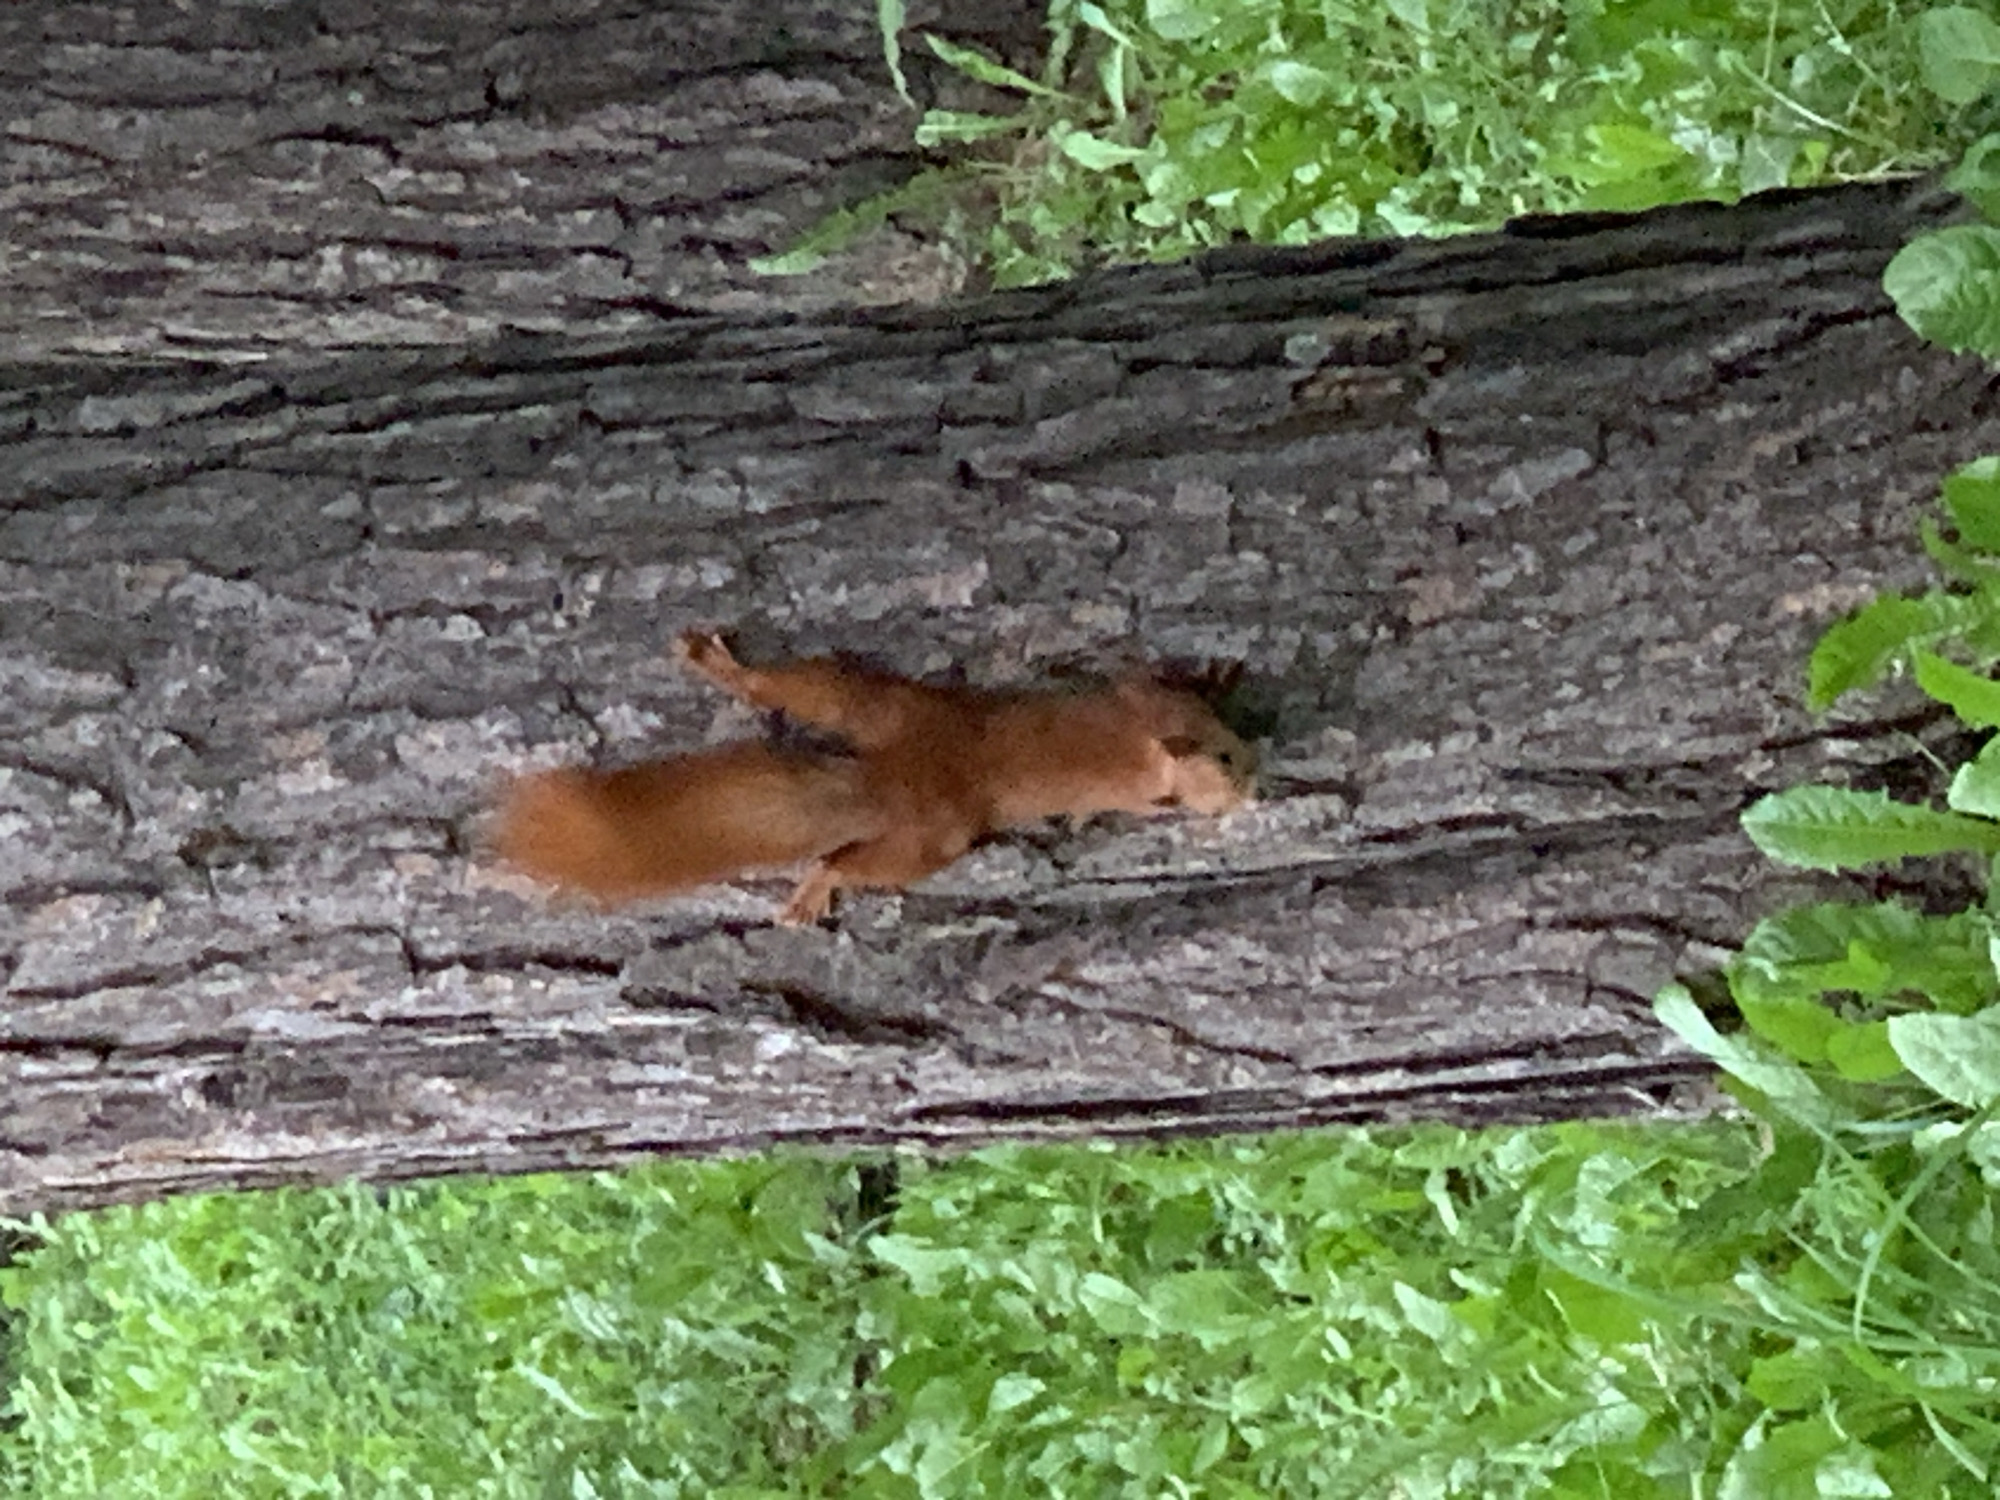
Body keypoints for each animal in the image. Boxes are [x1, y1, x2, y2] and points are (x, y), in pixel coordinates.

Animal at [492, 630, 1256, 924]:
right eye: (1225, 760)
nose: (1256, 777)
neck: (1152, 741)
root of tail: (894, 777)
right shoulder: (1142, 722)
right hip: (931, 839)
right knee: (853, 863)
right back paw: (814, 890)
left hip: (870, 710)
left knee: (799, 694)